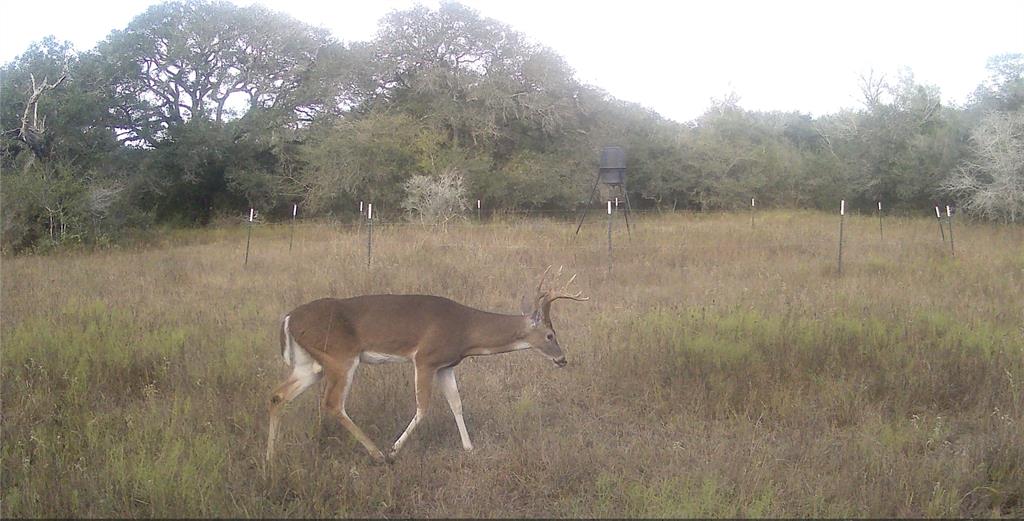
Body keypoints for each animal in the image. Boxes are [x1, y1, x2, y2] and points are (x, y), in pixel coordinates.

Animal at [266, 268, 585, 462]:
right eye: (550, 334)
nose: (562, 359)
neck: (466, 332)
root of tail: (288, 319)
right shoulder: (425, 358)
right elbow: (423, 407)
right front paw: (394, 450)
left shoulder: (446, 365)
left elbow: (456, 403)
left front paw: (469, 447)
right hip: (340, 357)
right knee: (332, 403)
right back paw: (377, 454)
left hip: (310, 364)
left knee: (278, 395)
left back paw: (270, 457)